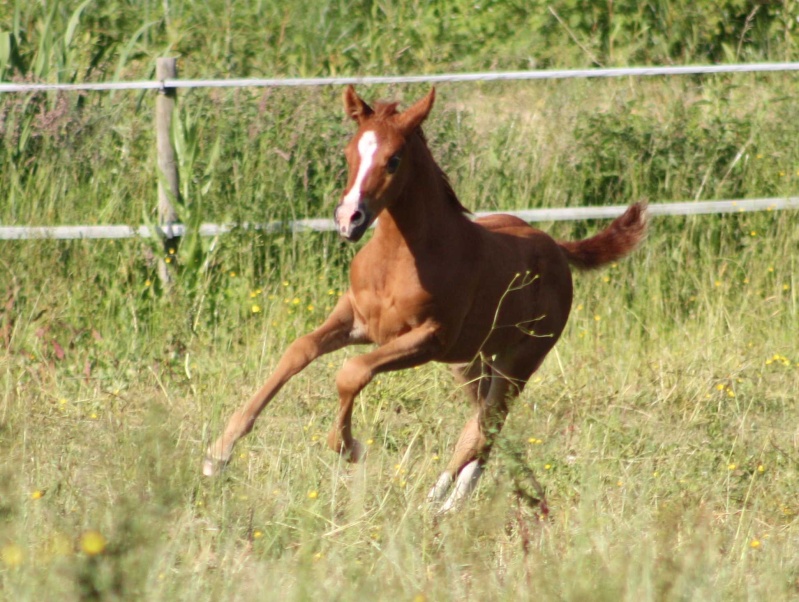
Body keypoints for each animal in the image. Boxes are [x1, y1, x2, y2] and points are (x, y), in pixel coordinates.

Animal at [203, 86, 648, 510]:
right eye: (349, 152)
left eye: (394, 160)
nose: (348, 219)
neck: (399, 259)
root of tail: (556, 247)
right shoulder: (355, 318)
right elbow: (300, 350)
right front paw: (219, 454)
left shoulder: (428, 339)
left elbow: (352, 372)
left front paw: (349, 446)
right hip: (472, 363)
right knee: (487, 424)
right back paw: (461, 496)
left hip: (520, 360)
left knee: (485, 425)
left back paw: (442, 501)